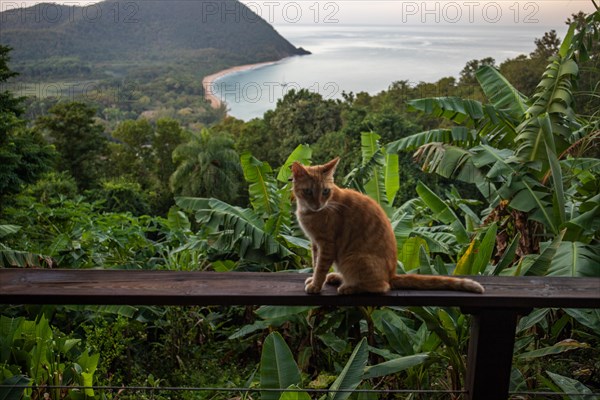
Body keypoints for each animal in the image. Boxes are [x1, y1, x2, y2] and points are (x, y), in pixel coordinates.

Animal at [292, 158, 486, 296]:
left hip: (353, 259)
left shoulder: (327, 244)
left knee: (382, 287)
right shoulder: (315, 244)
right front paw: (314, 281)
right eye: (308, 191)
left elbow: (320, 267)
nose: (318, 205)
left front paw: (316, 285)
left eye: (325, 191)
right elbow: (315, 263)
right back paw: (336, 277)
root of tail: (391, 274)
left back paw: (349, 287)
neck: (311, 212)